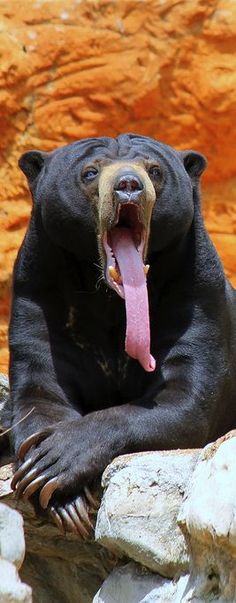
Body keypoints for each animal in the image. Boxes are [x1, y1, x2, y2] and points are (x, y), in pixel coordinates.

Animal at [5, 133, 236, 536]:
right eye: (90, 172)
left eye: (154, 171)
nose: (129, 185)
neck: (113, 298)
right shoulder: (37, 293)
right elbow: (40, 393)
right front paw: (60, 495)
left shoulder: (198, 292)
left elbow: (185, 398)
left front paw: (56, 461)